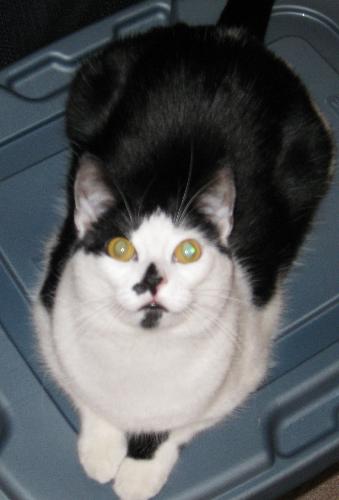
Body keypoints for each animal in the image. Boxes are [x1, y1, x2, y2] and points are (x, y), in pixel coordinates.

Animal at [33, 0, 334, 500]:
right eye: (120, 248)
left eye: (188, 251)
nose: (152, 279)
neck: (143, 352)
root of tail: (230, 37)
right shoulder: (49, 311)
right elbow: (87, 395)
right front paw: (101, 451)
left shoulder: (243, 366)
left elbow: (178, 425)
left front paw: (139, 473)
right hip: (93, 81)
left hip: (314, 153)